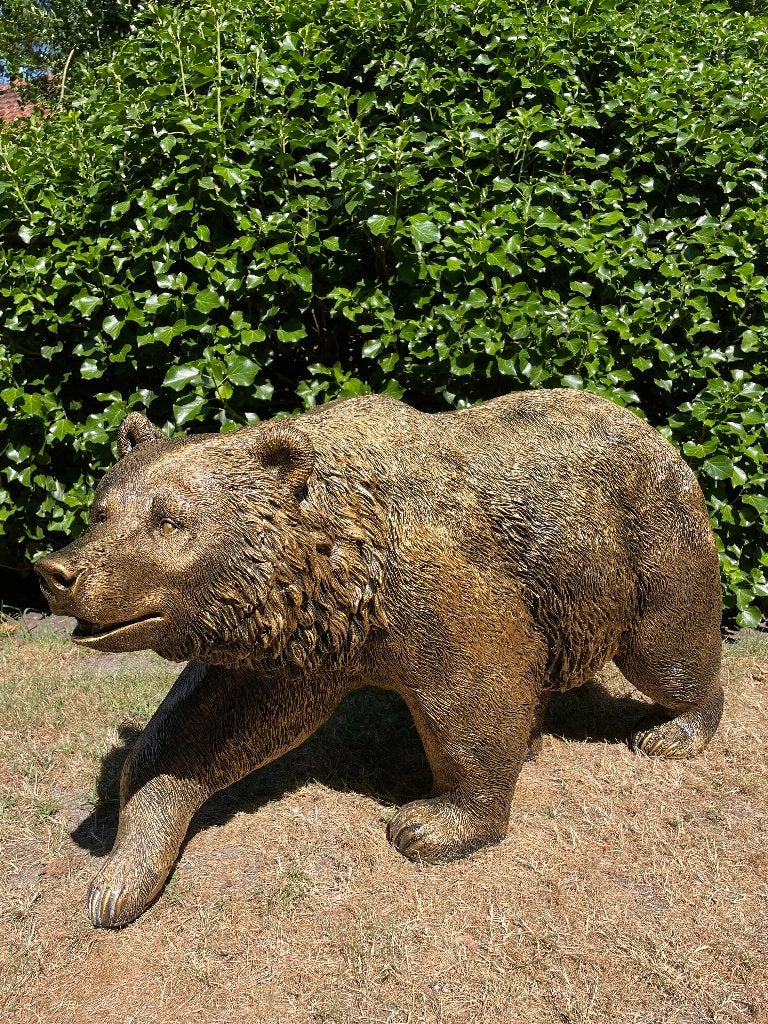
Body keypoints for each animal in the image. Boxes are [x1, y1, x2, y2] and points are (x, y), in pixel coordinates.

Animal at [35, 389, 724, 928]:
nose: (57, 571)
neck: (343, 568)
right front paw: (117, 880)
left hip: (643, 538)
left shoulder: (438, 586)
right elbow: (199, 731)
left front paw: (431, 822)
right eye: (101, 510)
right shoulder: (296, 644)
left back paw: (675, 731)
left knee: (669, 645)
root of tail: (644, 423)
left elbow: (473, 697)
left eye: (170, 520)